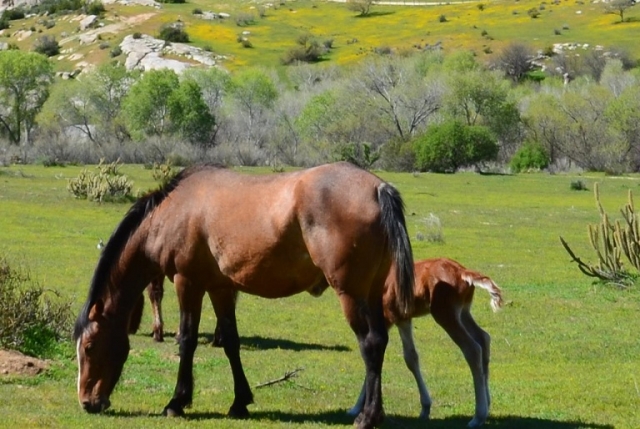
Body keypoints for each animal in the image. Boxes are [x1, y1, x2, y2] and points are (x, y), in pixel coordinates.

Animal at [73, 162, 414, 429]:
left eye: (89, 347)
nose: (87, 402)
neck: (174, 210)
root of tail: (378, 188)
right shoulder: (220, 288)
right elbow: (231, 343)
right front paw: (240, 401)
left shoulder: (188, 283)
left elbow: (187, 340)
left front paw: (177, 402)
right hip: (372, 294)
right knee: (380, 341)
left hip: (351, 294)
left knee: (370, 344)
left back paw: (367, 417)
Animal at [348, 257, 503, 428]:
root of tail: (462, 272)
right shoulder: (403, 319)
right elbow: (411, 357)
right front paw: (425, 408)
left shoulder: (387, 319)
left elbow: (374, 358)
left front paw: (357, 409)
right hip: (463, 312)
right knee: (483, 338)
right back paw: (487, 403)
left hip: (445, 314)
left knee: (472, 349)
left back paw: (478, 417)